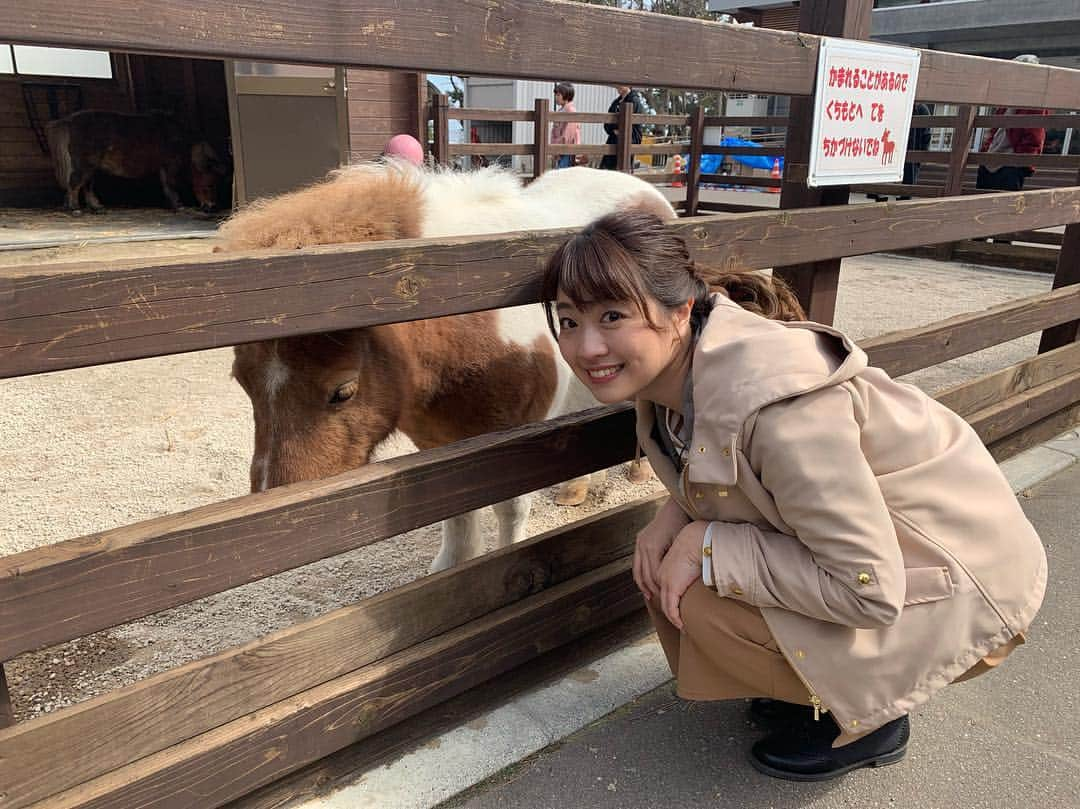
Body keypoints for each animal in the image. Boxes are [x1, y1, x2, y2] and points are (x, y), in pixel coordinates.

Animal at [219, 160, 673, 565]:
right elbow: (455, 515)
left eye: (342, 391)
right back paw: (576, 488)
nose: (275, 516)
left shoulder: (521, 439)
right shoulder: (440, 444)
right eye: (242, 383)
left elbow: (510, 510)